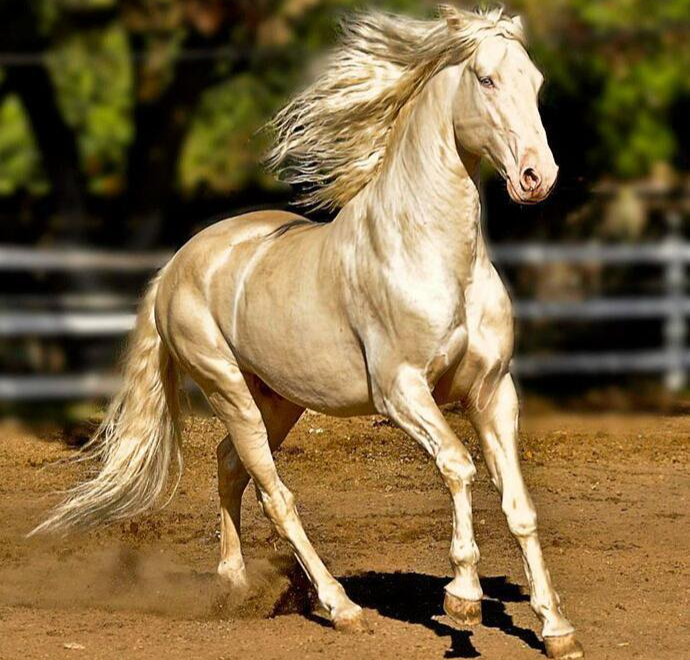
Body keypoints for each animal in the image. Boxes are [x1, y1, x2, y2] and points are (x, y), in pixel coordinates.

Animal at [33, 6, 583, 659]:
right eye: (486, 79)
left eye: (536, 82)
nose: (537, 176)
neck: (435, 255)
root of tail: (176, 266)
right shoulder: (401, 392)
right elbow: (458, 467)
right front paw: (463, 597)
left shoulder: (492, 391)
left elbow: (518, 504)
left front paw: (555, 628)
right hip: (228, 390)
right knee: (275, 493)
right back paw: (341, 608)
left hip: (278, 400)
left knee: (229, 465)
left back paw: (235, 585)